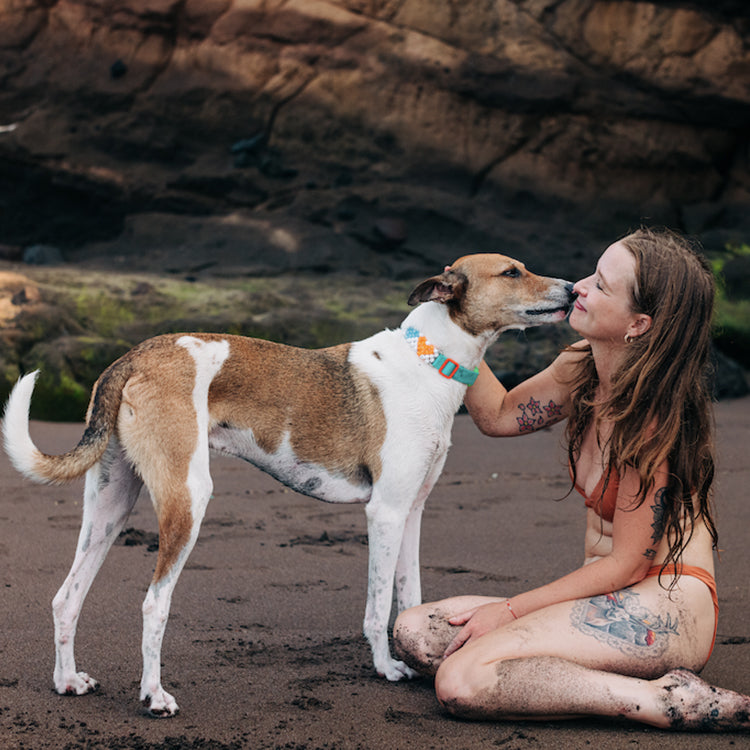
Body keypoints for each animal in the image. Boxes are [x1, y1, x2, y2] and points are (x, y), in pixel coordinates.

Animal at [1, 254, 576, 716]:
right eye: (512, 272)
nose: (573, 289)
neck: (429, 360)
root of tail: (135, 354)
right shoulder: (385, 513)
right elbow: (378, 608)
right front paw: (387, 668)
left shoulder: (412, 512)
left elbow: (409, 597)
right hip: (188, 499)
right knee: (153, 603)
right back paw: (154, 696)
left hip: (111, 504)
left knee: (66, 596)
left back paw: (67, 681)